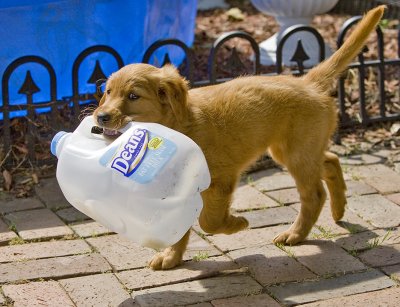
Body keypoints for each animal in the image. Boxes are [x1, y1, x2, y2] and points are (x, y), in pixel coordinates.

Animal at [93, 6, 384, 270]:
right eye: (108, 92)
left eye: (133, 96)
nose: (101, 117)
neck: (177, 128)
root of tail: (308, 82)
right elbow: (180, 227)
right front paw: (172, 258)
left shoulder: (222, 180)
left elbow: (208, 221)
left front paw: (236, 224)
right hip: (293, 149)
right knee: (331, 160)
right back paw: (339, 209)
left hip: (297, 154)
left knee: (313, 194)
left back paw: (295, 234)